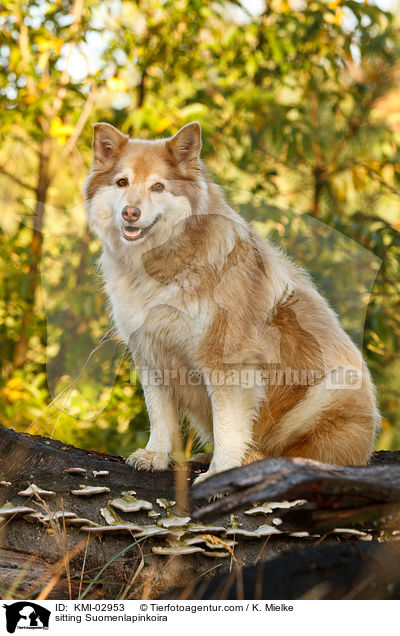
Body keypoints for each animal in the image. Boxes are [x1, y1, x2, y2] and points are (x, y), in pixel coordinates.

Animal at [83, 121, 378, 484]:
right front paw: (155, 455)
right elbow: (160, 413)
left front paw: (221, 472)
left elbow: (228, 426)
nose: (130, 212)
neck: (161, 262)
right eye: (122, 182)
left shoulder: (227, 360)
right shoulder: (150, 352)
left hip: (333, 390)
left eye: (158, 186)